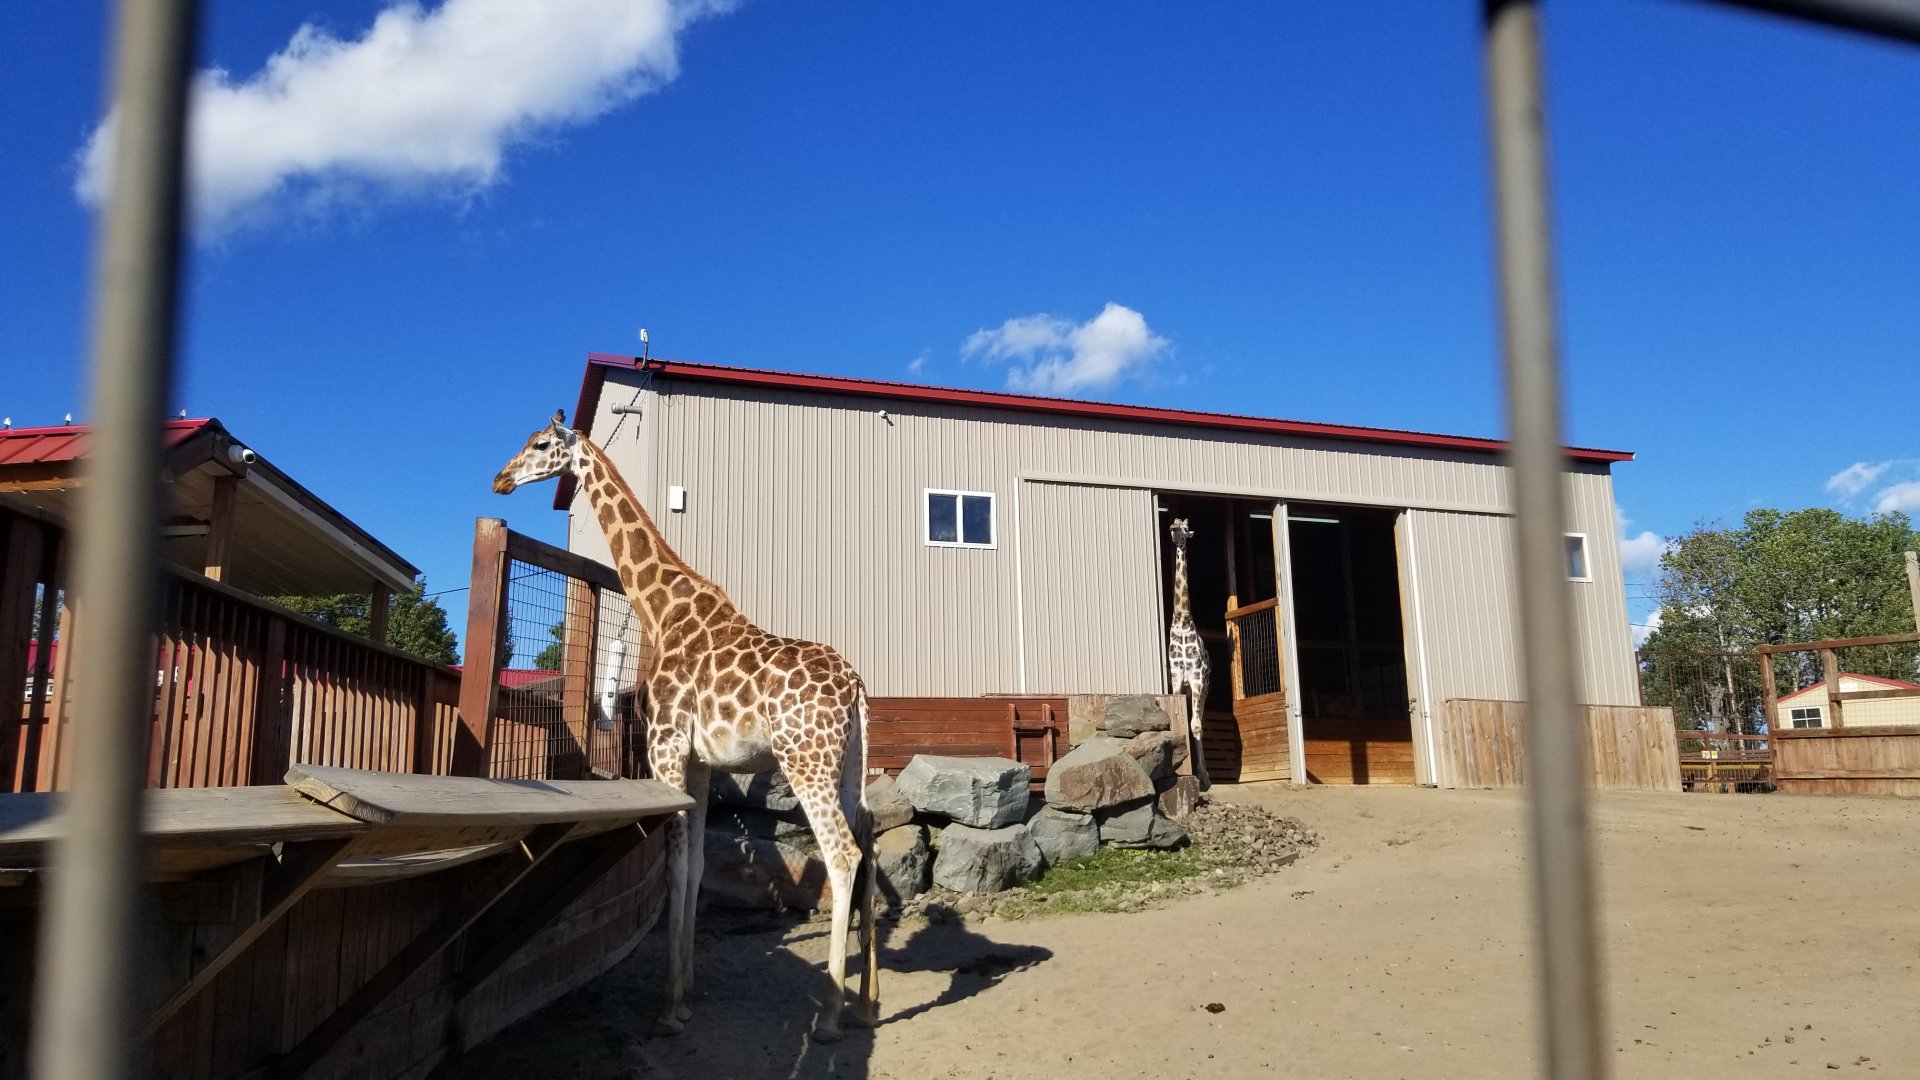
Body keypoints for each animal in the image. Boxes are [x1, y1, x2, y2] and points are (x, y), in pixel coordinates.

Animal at [492, 412, 879, 1043]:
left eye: (541, 445)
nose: (500, 479)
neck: (661, 611)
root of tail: (857, 688)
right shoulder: (700, 765)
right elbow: (695, 868)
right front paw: (690, 990)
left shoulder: (666, 749)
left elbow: (673, 869)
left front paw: (669, 1006)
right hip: (848, 766)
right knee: (868, 843)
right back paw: (868, 1003)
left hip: (805, 763)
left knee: (842, 854)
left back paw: (828, 1014)